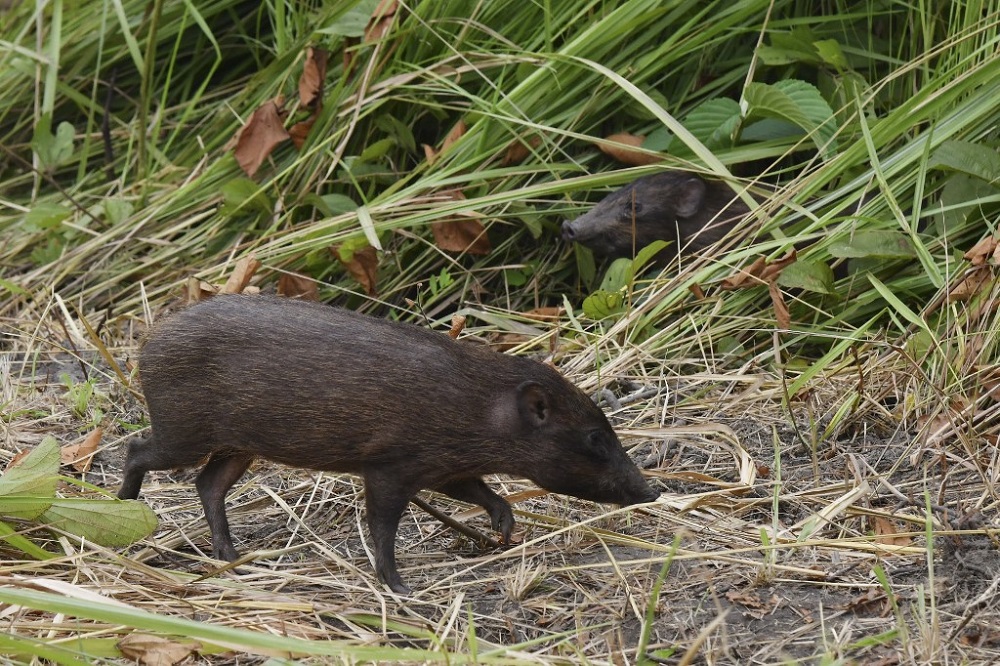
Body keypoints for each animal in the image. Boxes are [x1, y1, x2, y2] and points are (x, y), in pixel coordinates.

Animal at [117, 295, 658, 594]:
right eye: (595, 436)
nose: (652, 489)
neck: (477, 409)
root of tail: (148, 340)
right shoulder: (389, 465)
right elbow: (382, 527)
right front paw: (400, 587)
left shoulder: (443, 467)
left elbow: (483, 493)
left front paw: (504, 531)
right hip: (185, 431)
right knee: (136, 448)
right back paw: (123, 505)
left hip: (237, 444)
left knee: (208, 484)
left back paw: (231, 557)